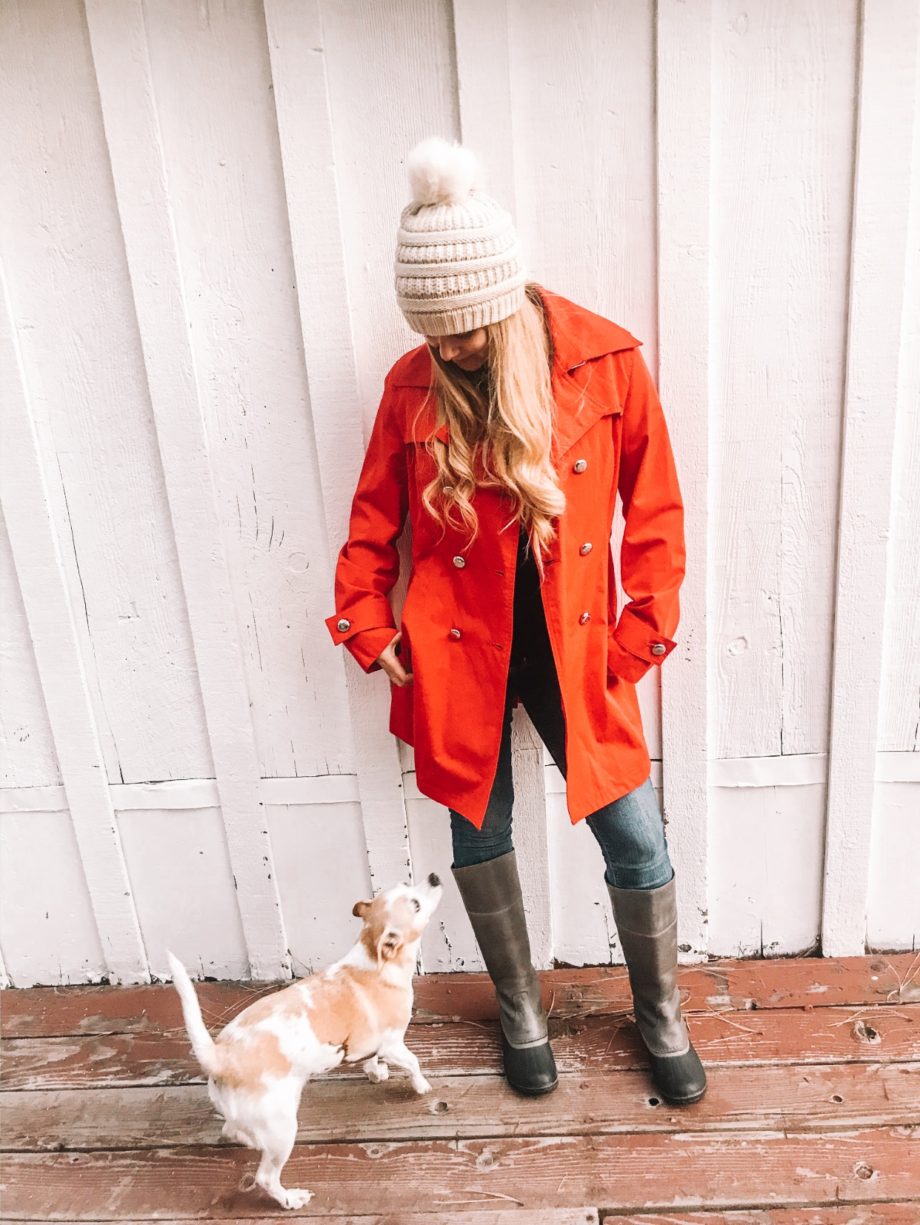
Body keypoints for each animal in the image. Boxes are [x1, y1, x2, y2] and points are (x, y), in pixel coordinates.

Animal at [171, 877, 448, 1210]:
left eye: (406, 883)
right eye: (416, 905)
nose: (434, 877)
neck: (374, 959)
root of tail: (220, 1056)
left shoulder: (372, 1043)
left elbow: (370, 1059)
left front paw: (376, 1073)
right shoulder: (393, 1043)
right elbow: (413, 1063)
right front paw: (421, 1086)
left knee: (232, 1129)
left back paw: (249, 1140)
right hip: (282, 1129)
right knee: (265, 1177)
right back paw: (291, 1198)